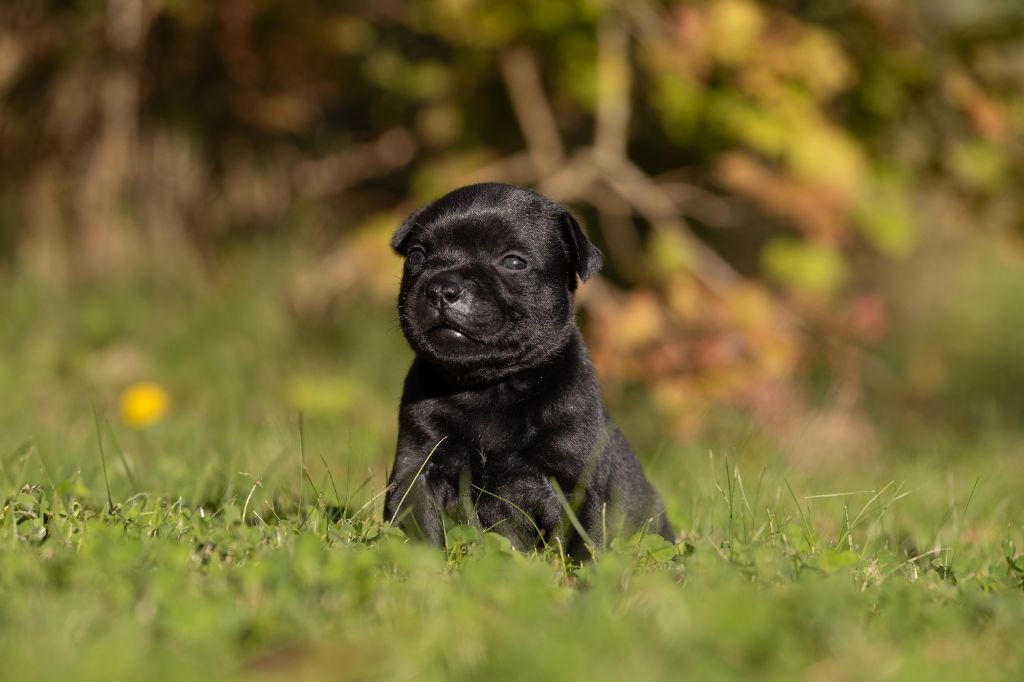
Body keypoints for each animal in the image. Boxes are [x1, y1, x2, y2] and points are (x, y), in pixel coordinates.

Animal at [385, 183, 671, 557]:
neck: (489, 388)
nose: (442, 288)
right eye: (418, 255)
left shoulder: (575, 484)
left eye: (513, 262)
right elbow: (421, 528)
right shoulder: (417, 469)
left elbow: (582, 541)